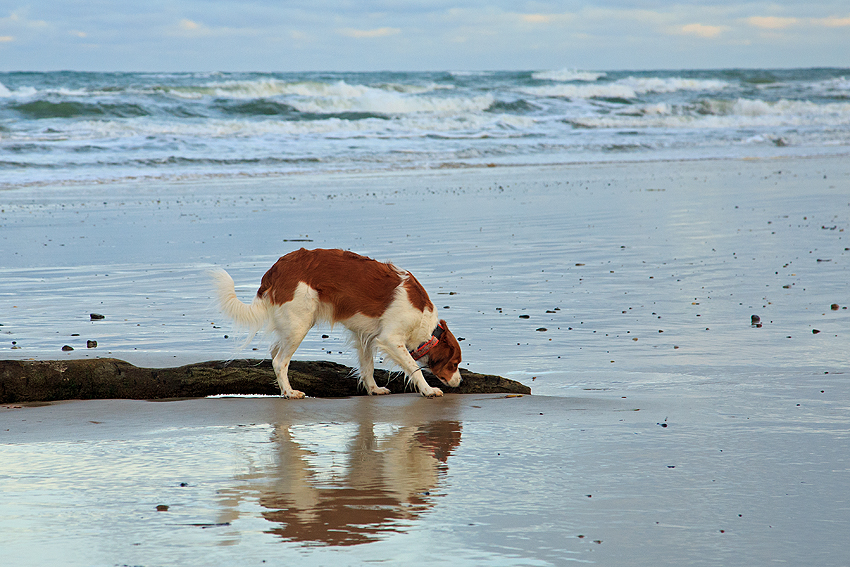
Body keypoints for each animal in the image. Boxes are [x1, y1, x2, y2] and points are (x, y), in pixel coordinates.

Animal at [212, 248, 464, 400]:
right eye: (454, 364)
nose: (460, 382)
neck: (423, 320)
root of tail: (276, 268)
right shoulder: (390, 339)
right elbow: (413, 367)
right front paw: (428, 389)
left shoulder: (366, 337)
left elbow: (368, 366)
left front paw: (373, 389)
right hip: (300, 325)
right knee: (279, 361)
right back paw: (290, 392)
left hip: (291, 325)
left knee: (275, 352)